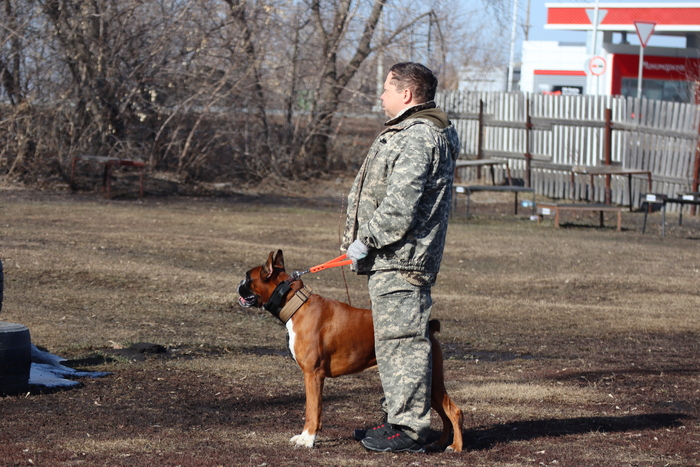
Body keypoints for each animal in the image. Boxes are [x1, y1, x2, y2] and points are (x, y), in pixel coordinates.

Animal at [237, 250, 463, 451]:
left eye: (248, 278)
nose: (238, 285)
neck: (296, 304)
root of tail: (429, 327)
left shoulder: (312, 375)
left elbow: (312, 410)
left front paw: (307, 439)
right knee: (445, 414)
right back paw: (441, 443)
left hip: (429, 379)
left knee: (454, 412)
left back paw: (456, 447)